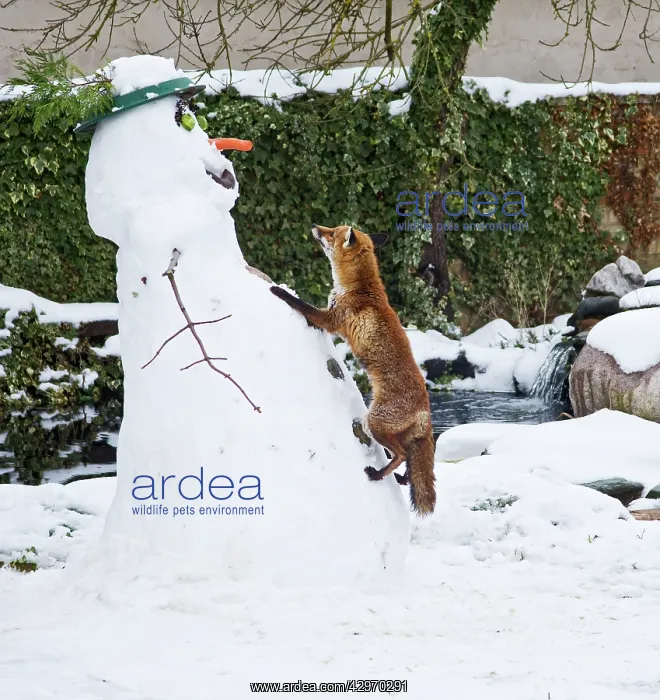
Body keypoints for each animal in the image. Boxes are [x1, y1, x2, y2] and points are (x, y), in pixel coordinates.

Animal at [270, 224, 436, 516]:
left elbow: (300, 304)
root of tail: (425, 409)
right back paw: (398, 478)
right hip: (389, 431)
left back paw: (378, 475)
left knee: (402, 454)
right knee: (406, 464)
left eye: (331, 232)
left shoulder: (331, 319)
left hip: (374, 422)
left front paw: (279, 290)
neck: (359, 287)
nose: (314, 226)